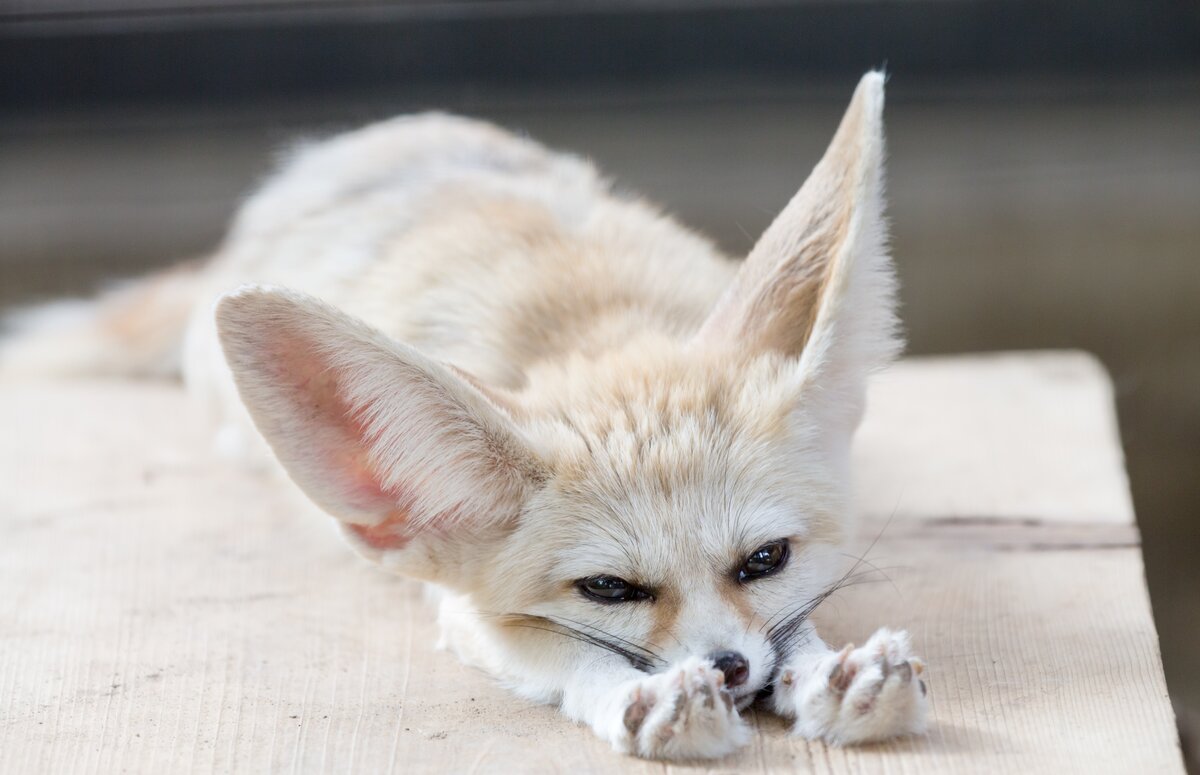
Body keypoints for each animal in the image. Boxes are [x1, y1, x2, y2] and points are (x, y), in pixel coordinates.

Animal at [0, 72, 927, 760]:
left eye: (764, 558)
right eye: (608, 588)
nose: (730, 668)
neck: (590, 323)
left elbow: (795, 625)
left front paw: (830, 673)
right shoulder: (466, 607)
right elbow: (574, 655)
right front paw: (646, 695)